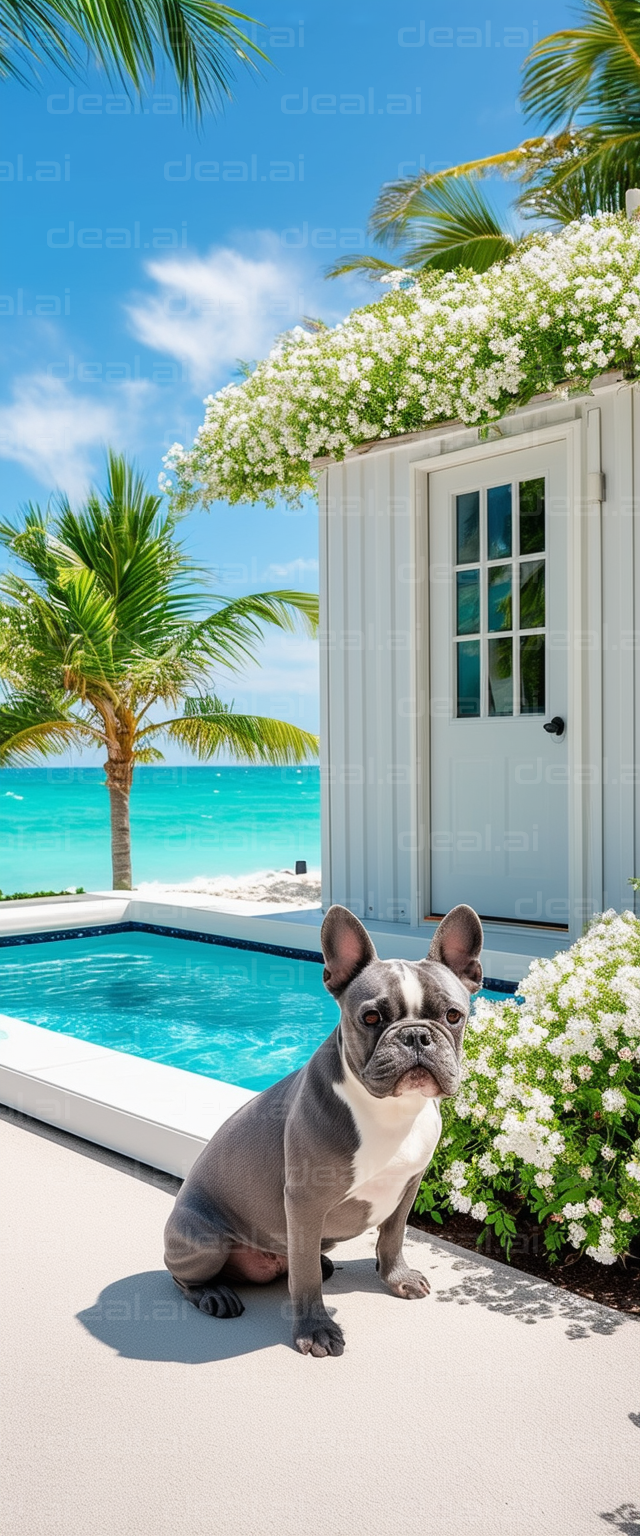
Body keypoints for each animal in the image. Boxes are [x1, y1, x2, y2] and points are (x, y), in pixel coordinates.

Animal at [161, 897, 481, 1357]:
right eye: (371, 1017)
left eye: (453, 1015)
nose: (417, 1036)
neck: (393, 1110)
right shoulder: (305, 1201)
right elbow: (305, 1277)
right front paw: (315, 1330)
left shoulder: (409, 1185)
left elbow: (393, 1235)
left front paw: (397, 1278)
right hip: (202, 1239)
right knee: (185, 1277)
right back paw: (214, 1293)